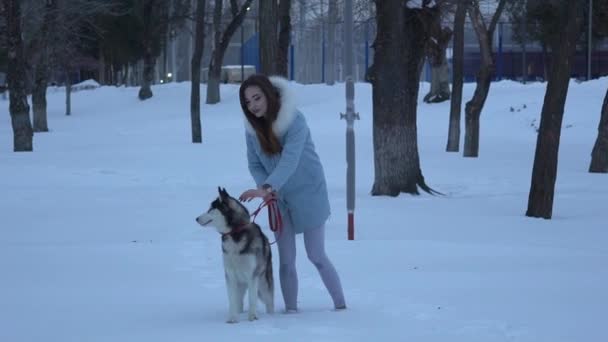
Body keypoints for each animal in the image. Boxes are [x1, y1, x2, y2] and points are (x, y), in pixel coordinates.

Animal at [196, 187, 274, 324]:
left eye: (211, 209)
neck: (235, 233)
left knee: (269, 301)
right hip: (241, 284)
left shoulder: (252, 275)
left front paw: (252, 317)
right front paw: (232, 318)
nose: (196, 218)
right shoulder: (230, 274)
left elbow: (252, 299)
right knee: (239, 301)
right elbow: (232, 300)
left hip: (263, 284)